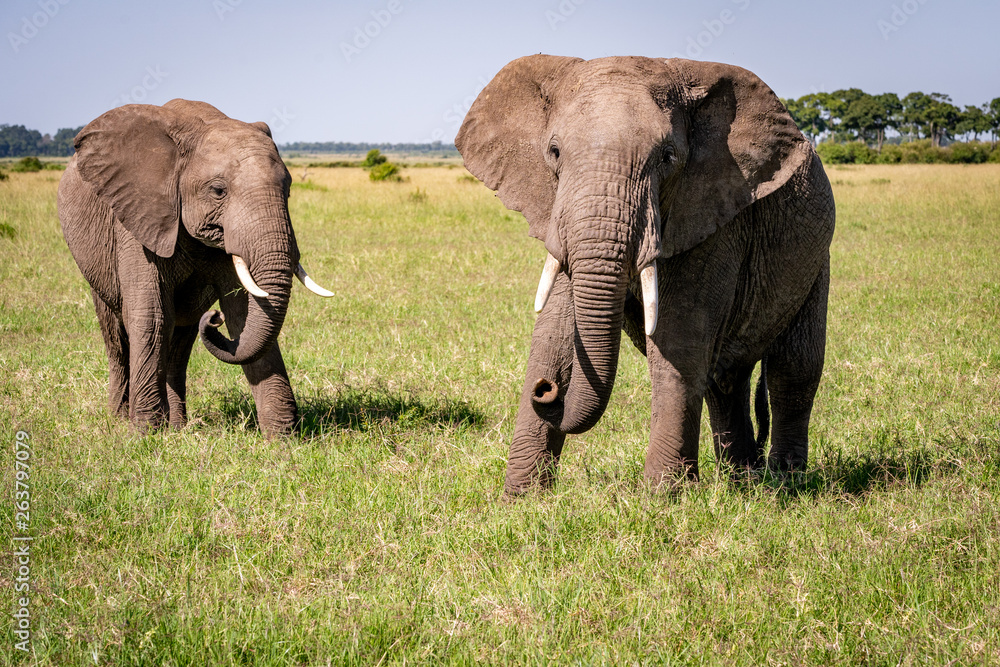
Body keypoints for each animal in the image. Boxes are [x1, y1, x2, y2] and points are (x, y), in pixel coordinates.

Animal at [58, 99, 333, 437]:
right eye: (218, 191)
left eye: (289, 190)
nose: (213, 318)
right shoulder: (139, 220)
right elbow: (151, 316)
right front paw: (145, 433)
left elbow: (244, 315)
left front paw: (283, 439)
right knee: (117, 334)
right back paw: (121, 418)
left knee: (180, 341)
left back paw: (177, 426)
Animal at [456, 56, 835, 495]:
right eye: (553, 152)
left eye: (667, 157)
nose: (546, 390)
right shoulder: (559, 213)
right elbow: (554, 333)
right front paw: (522, 499)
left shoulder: (716, 213)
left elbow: (677, 340)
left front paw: (663, 497)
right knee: (723, 378)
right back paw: (742, 478)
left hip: (817, 255)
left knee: (793, 367)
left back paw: (783, 482)